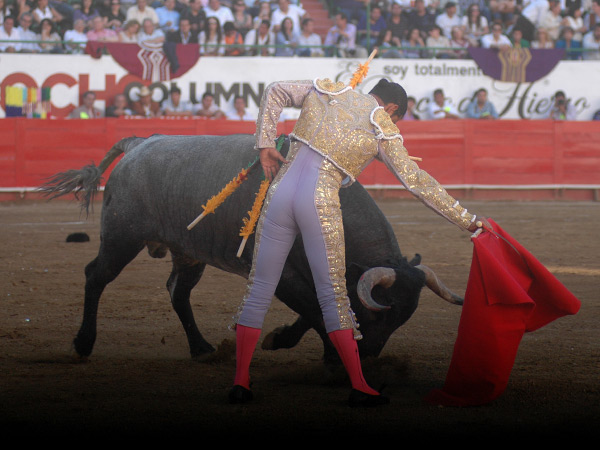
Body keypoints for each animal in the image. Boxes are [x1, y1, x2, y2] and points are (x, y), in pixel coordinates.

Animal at [40, 134, 463, 363]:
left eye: (401, 320)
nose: (370, 355)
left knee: (177, 292)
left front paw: (284, 339)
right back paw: (83, 343)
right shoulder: (284, 275)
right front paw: (329, 354)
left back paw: (202, 348)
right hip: (121, 237)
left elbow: (318, 309)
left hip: (188, 251)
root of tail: (141, 144)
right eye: (377, 314)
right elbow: (315, 310)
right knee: (96, 276)